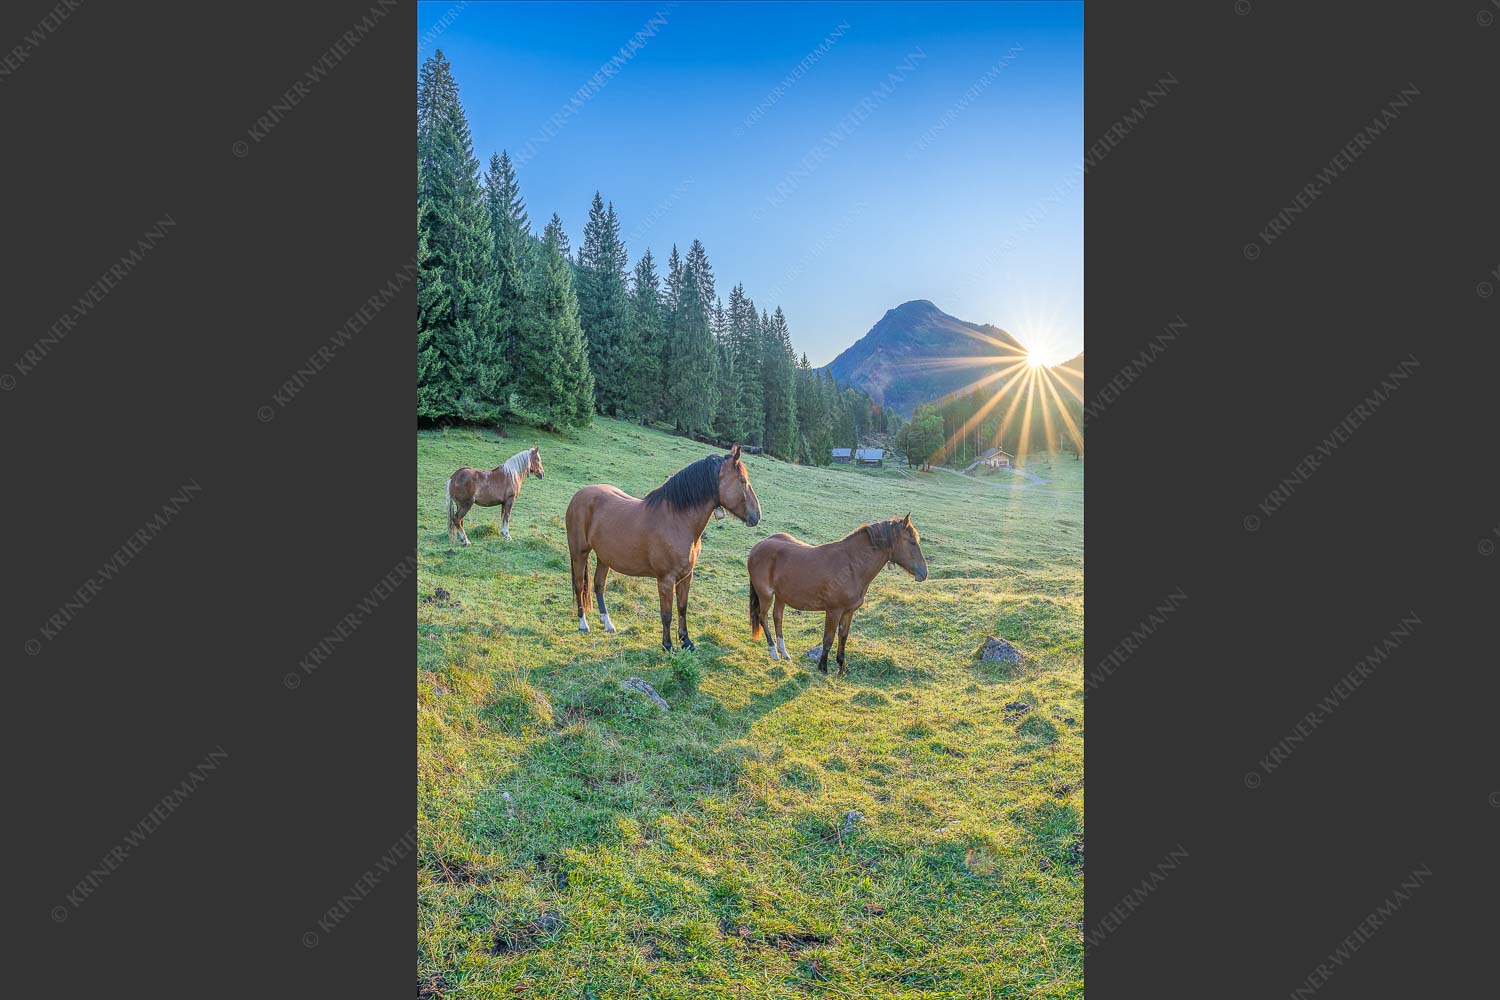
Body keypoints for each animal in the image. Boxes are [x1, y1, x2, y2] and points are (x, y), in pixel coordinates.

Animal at [566, 444, 761, 652]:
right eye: (743, 481)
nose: (757, 515)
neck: (677, 520)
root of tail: (579, 495)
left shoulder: (686, 576)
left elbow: (682, 608)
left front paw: (686, 641)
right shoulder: (666, 580)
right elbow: (666, 614)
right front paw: (668, 645)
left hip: (605, 557)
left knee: (598, 585)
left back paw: (608, 624)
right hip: (579, 553)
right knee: (579, 586)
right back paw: (583, 624)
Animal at [747, 513, 928, 675]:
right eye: (912, 542)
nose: (924, 573)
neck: (851, 566)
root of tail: (758, 546)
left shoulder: (848, 612)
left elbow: (843, 637)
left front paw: (842, 668)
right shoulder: (833, 611)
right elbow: (828, 639)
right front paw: (823, 668)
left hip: (781, 596)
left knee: (778, 618)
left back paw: (784, 653)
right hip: (766, 595)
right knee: (763, 618)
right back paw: (773, 652)